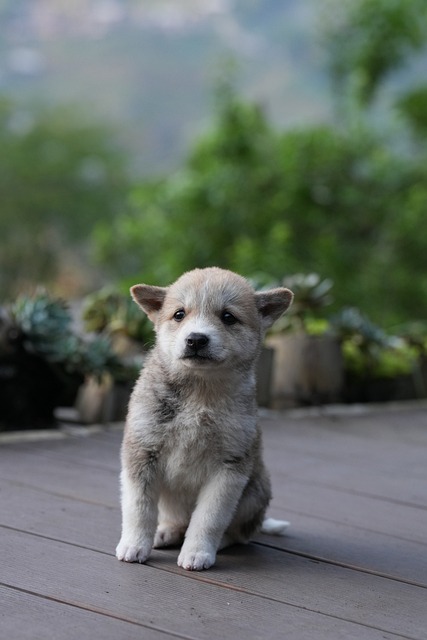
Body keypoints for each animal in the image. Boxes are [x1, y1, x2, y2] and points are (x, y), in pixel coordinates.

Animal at [115, 264, 292, 568]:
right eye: (179, 314)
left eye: (228, 317)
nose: (196, 339)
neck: (199, 393)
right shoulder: (141, 451)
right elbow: (139, 509)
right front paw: (134, 545)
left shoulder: (229, 467)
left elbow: (209, 519)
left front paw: (197, 552)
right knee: (176, 521)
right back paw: (165, 532)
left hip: (255, 492)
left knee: (240, 533)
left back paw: (218, 542)